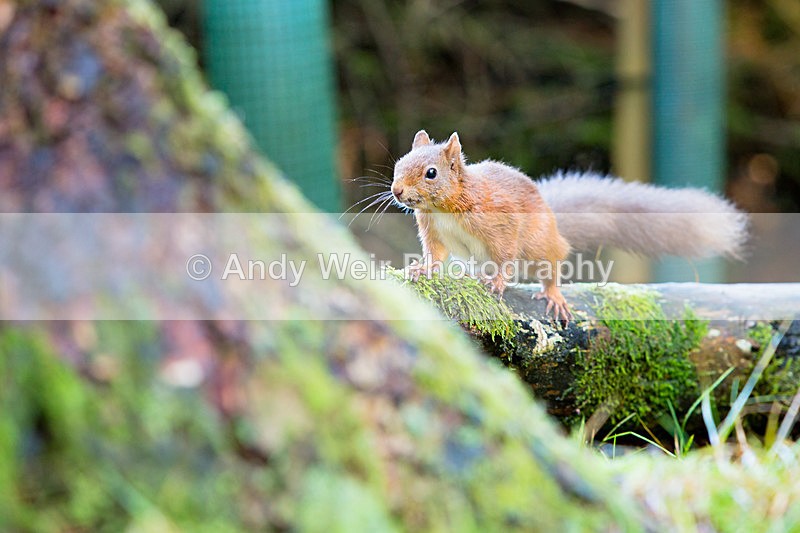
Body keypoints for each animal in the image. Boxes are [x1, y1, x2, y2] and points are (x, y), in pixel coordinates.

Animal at [390, 130, 748, 321]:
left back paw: (552, 294)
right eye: (399, 164)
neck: (444, 209)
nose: (396, 191)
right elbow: (436, 254)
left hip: (540, 245)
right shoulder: (433, 231)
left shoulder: (501, 224)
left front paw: (498, 281)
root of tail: (555, 225)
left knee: (550, 267)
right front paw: (422, 269)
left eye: (431, 173)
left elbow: (505, 254)